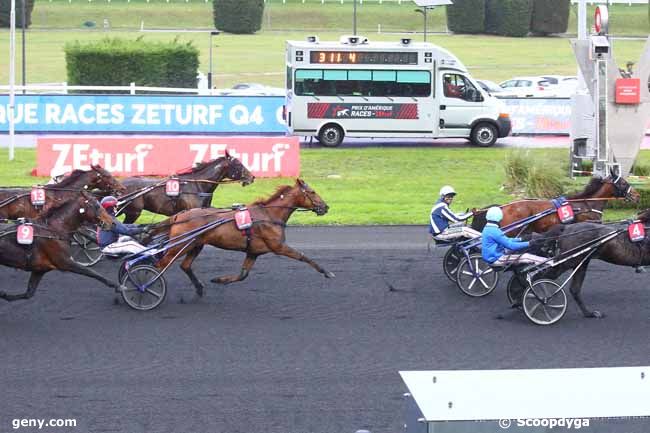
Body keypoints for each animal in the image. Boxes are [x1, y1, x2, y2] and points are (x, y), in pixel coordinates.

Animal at [153, 178, 334, 296]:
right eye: (312, 192)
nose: (326, 207)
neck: (269, 215)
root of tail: (179, 215)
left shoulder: (253, 252)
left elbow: (242, 275)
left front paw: (220, 280)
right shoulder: (278, 246)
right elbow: (303, 256)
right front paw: (326, 272)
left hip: (195, 244)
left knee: (185, 266)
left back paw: (199, 287)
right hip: (179, 245)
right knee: (160, 265)